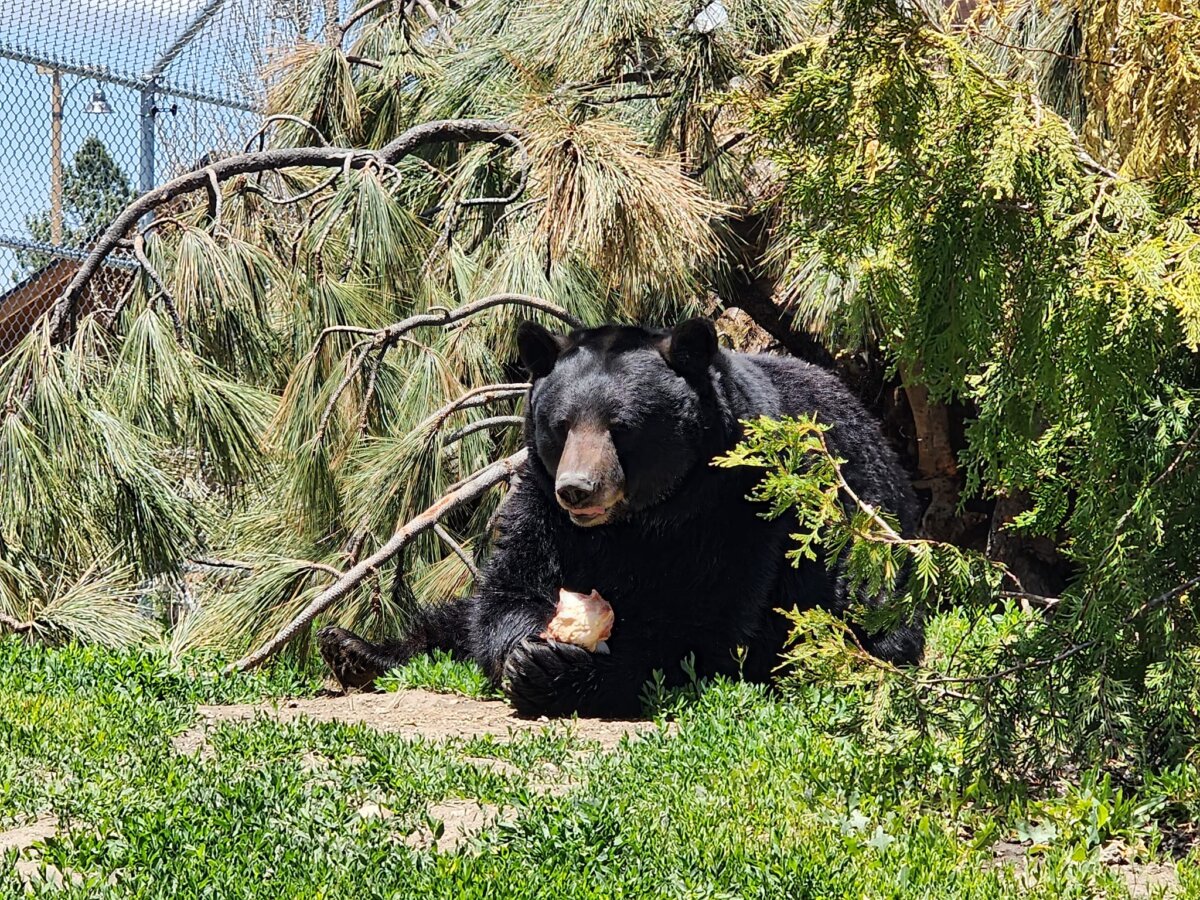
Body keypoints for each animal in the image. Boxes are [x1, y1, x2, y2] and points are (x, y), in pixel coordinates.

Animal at [316, 316, 916, 720]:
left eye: (620, 426)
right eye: (561, 425)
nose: (577, 489)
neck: (641, 521)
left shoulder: (740, 508)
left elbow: (704, 627)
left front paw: (561, 670)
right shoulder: (540, 502)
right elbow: (507, 589)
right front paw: (526, 648)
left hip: (868, 567)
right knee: (453, 616)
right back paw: (353, 648)